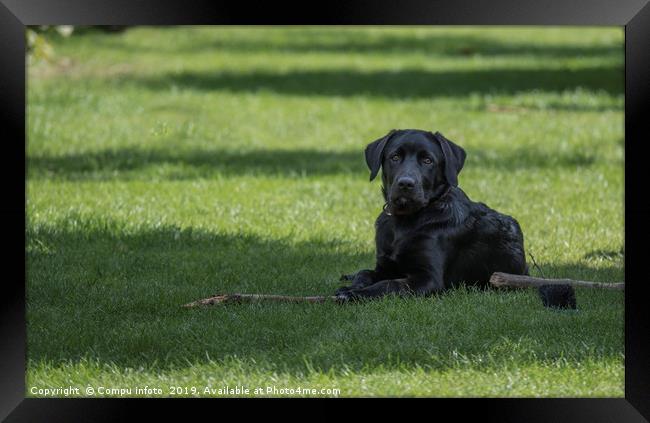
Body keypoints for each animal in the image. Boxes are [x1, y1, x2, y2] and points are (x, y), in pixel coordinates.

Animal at [334, 129, 528, 302]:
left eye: (427, 160)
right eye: (395, 157)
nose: (406, 184)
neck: (405, 221)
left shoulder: (428, 278)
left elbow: (389, 284)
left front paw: (355, 294)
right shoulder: (385, 266)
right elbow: (364, 273)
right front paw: (350, 288)